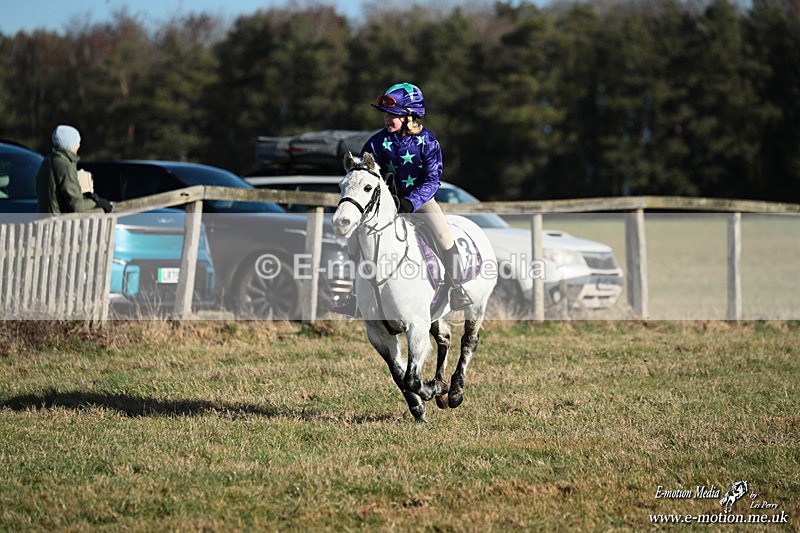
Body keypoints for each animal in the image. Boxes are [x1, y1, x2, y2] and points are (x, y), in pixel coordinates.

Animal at [332, 152, 497, 422]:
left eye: (368, 188)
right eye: (341, 186)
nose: (341, 222)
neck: (382, 265)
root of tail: (473, 227)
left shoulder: (415, 326)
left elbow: (411, 377)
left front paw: (433, 390)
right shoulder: (378, 333)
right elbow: (398, 375)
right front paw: (420, 408)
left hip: (477, 305)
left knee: (468, 341)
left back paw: (454, 392)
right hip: (435, 313)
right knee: (445, 337)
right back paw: (443, 391)